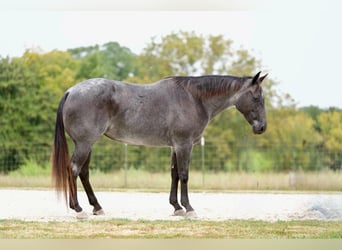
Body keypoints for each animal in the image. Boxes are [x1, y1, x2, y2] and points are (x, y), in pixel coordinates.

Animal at [52, 71, 268, 218]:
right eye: (257, 97)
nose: (262, 127)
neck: (194, 98)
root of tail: (71, 91)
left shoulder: (175, 146)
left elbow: (174, 174)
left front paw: (177, 207)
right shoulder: (184, 144)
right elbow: (184, 175)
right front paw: (189, 208)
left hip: (88, 144)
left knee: (83, 172)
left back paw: (96, 207)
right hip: (84, 144)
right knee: (73, 169)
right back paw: (78, 209)